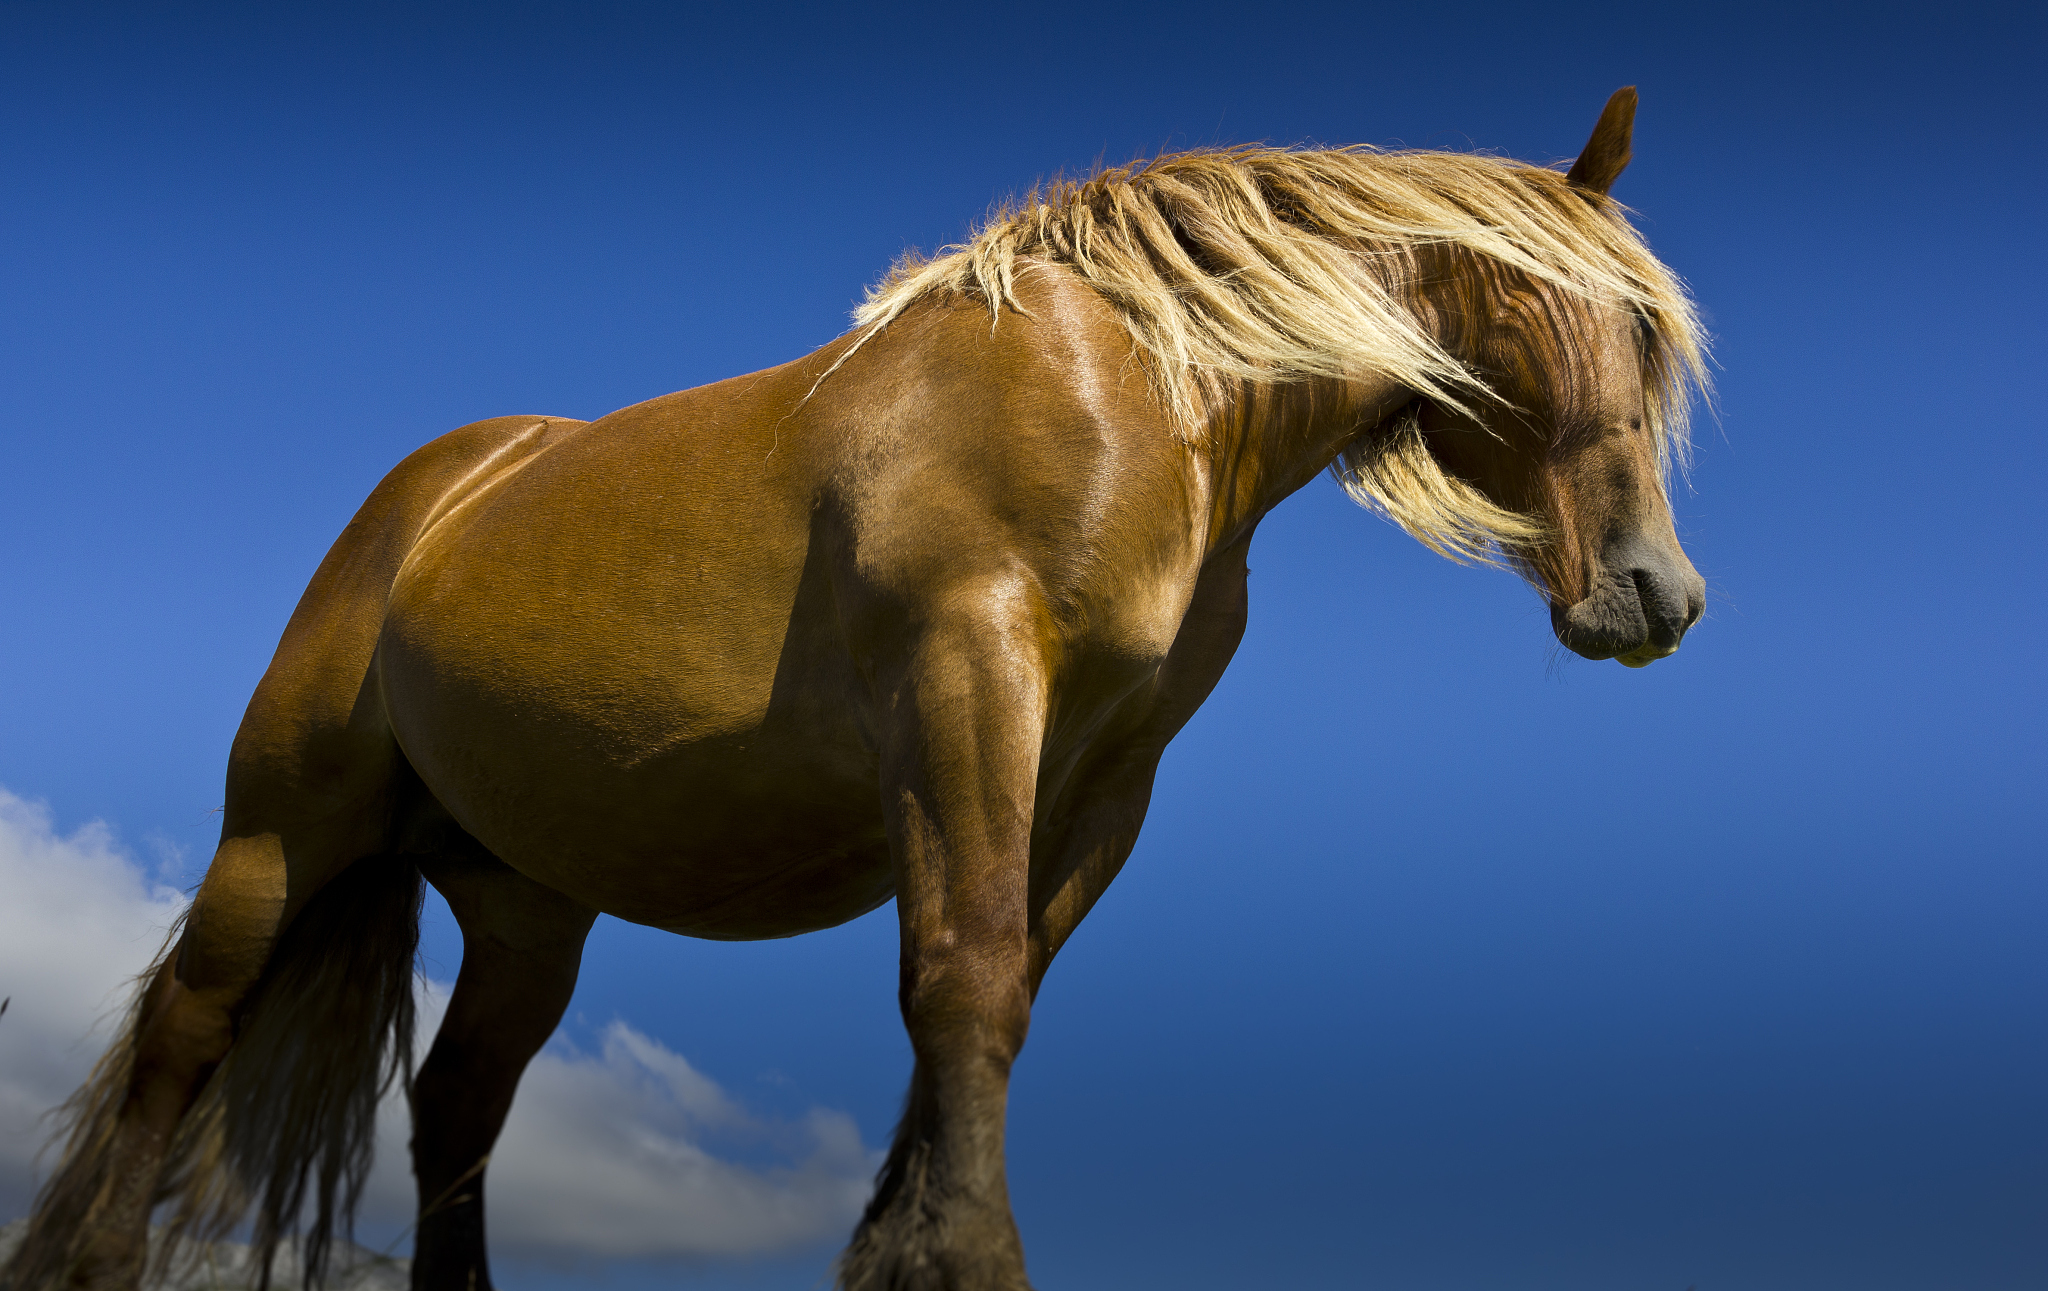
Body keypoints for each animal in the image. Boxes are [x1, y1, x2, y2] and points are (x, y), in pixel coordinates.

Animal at [4, 87, 1708, 1291]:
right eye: (1569, 307)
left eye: (1653, 331)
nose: (1656, 593)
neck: (1132, 393)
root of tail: (433, 496)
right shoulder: (968, 682)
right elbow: (959, 977)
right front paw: (962, 1261)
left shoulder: (1107, 772)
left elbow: (1004, 987)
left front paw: (904, 1249)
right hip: (283, 838)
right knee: (186, 1033)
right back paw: (93, 1252)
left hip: (524, 901)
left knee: (457, 1108)